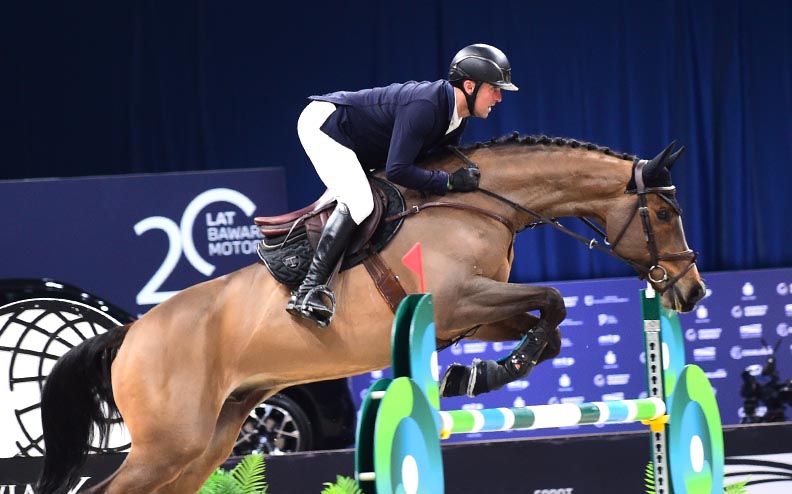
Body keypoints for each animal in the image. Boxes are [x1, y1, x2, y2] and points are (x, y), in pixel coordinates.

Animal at [36, 134, 705, 494]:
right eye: (664, 214)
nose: (692, 292)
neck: (481, 202)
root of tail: (130, 332)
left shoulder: (478, 313)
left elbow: (550, 326)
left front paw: (476, 375)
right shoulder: (460, 299)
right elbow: (555, 301)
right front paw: (473, 376)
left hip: (206, 441)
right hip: (168, 445)